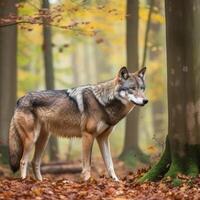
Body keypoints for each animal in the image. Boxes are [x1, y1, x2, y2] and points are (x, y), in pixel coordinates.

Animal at [8, 67, 148, 181]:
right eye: (132, 88)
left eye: (142, 89)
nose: (146, 100)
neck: (102, 103)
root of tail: (20, 99)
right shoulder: (88, 135)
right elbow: (87, 165)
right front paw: (87, 182)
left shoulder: (102, 138)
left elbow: (110, 164)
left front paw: (116, 181)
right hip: (31, 139)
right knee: (23, 161)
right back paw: (25, 181)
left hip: (43, 140)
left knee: (35, 162)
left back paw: (39, 182)